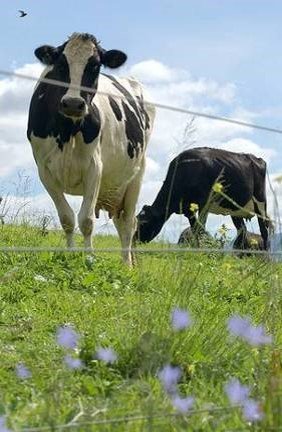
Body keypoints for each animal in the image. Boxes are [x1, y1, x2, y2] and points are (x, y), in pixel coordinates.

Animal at [27, 32, 155, 264]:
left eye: (95, 66)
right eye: (61, 64)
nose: (73, 103)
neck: (66, 131)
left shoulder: (94, 168)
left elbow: (86, 220)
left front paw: (89, 258)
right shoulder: (44, 171)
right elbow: (67, 218)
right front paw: (70, 255)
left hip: (136, 175)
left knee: (128, 224)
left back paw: (126, 264)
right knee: (121, 222)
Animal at [137, 148, 270, 250]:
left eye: (144, 223)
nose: (135, 240)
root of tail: (257, 158)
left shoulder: (204, 203)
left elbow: (200, 227)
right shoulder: (187, 209)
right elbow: (195, 228)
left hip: (261, 202)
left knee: (264, 228)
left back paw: (266, 256)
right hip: (234, 209)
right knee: (242, 230)